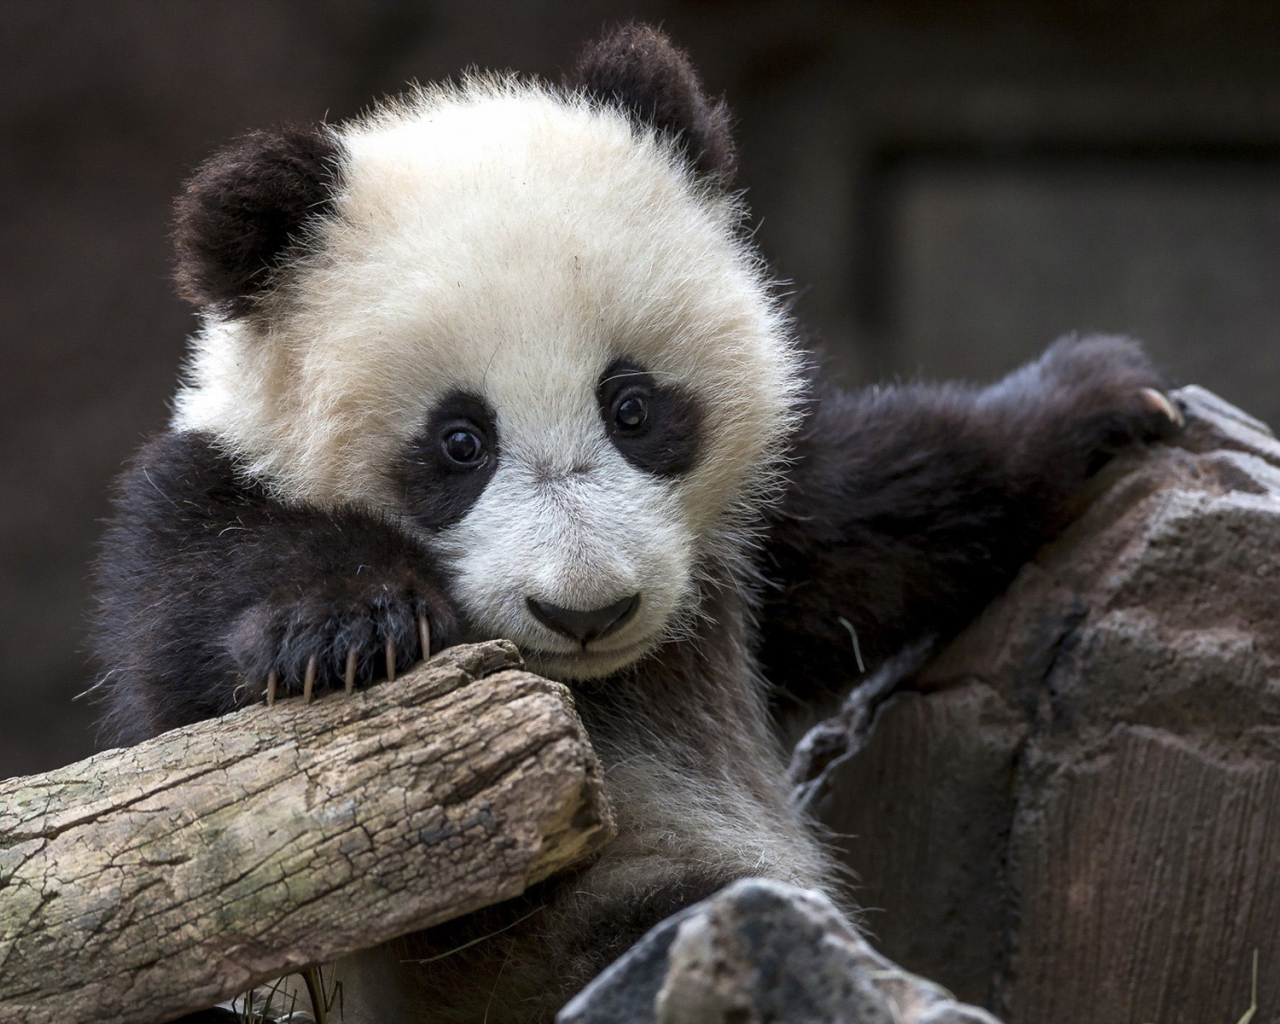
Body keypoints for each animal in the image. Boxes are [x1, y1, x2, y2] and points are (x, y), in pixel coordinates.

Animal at [92, 24, 1182, 1024]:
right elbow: (186, 660)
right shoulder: (202, 495)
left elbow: (876, 512)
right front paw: (352, 629)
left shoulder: (748, 541)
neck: (589, 686)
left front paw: (1095, 401)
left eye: (632, 407)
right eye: (459, 442)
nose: (586, 611)